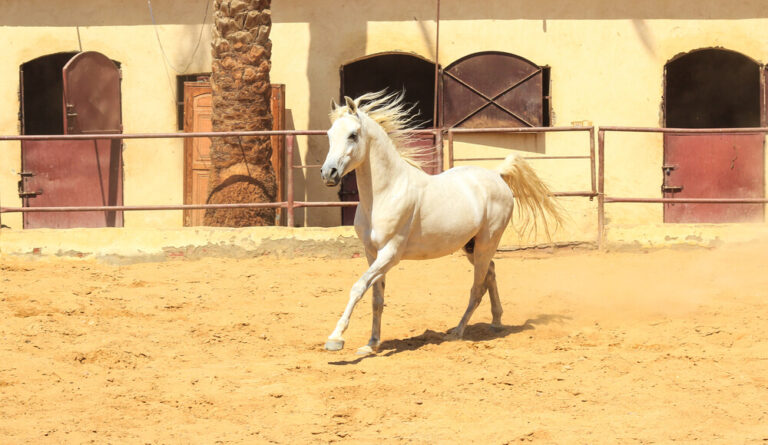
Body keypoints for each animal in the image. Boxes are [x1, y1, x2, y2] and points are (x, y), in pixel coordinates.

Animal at [320, 91, 564, 354]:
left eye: (353, 135)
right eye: (329, 134)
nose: (328, 173)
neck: (386, 193)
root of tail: (497, 175)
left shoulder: (390, 254)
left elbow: (358, 287)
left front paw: (335, 339)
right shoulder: (371, 253)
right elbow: (376, 297)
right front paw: (371, 344)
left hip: (487, 242)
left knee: (477, 287)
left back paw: (457, 332)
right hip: (471, 246)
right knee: (490, 273)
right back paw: (496, 322)